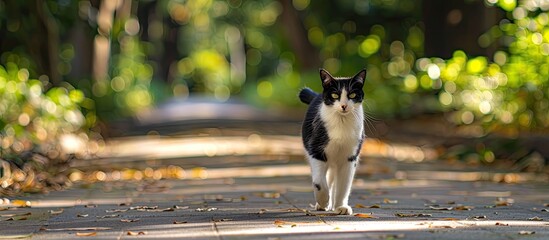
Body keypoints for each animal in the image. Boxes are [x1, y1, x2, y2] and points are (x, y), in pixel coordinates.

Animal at [300, 68, 364, 216]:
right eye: (335, 95)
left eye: (352, 94)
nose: (344, 106)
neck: (342, 122)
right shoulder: (316, 150)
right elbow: (319, 181)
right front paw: (324, 201)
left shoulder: (350, 157)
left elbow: (343, 185)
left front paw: (341, 206)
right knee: (324, 177)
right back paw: (323, 204)